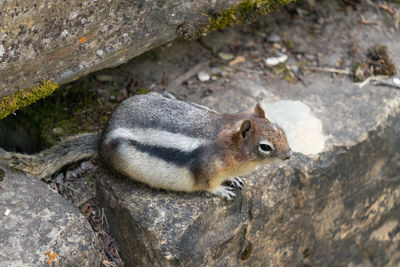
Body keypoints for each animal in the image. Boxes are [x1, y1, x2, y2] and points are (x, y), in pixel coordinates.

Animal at [0, 93, 290, 200]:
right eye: (265, 147)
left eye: (282, 130)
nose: (289, 155)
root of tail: (102, 137)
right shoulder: (206, 168)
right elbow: (207, 186)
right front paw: (222, 190)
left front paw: (236, 180)